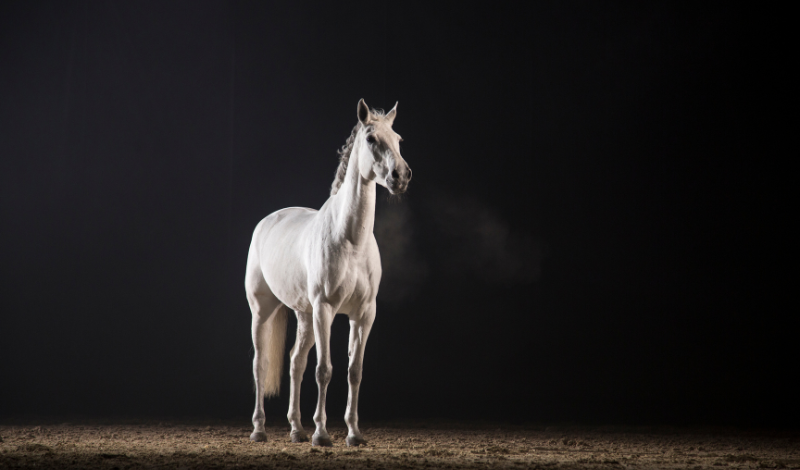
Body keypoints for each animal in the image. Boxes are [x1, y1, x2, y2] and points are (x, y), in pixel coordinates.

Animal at [245, 99, 411, 447]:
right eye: (371, 138)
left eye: (399, 139)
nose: (401, 176)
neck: (350, 240)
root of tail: (267, 221)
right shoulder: (326, 309)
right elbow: (324, 369)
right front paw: (321, 434)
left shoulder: (364, 314)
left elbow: (354, 371)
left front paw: (354, 433)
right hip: (263, 311)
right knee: (260, 363)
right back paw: (259, 429)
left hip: (305, 315)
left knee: (295, 361)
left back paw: (296, 429)